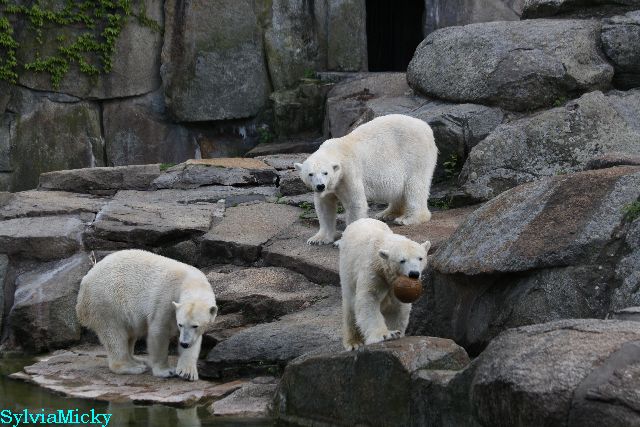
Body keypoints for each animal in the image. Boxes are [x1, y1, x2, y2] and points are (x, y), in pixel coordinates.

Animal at [76, 249, 217, 381]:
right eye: (180, 324)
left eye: (195, 326)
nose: (184, 343)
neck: (189, 281)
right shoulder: (165, 300)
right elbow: (159, 332)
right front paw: (166, 371)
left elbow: (195, 341)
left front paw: (187, 372)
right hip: (107, 301)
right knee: (115, 335)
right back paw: (132, 367)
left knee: (129, 334)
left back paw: (137, 360)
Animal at [295, 114, 437, 245]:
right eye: (310, 174)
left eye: (325, 173)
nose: (320, 186)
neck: (336, 150)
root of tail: (426, 127)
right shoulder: (330, 187)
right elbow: (324, 206)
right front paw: (318, 239)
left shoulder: (349, 172)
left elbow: (355, 204)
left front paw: (344, 240)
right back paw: (386, 214)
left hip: (415, 155)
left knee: (414, 186)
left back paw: (408, 218)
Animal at [339, 218, 430, 350]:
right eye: (402, 260)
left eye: (420, 258)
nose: (414, 274)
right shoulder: (373, 271)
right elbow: (368, 299)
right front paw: (385, 335)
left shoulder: (394, 285)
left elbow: (398, 306)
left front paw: (397, 332)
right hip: (347, 270)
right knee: (350, 303)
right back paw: (353, 342)